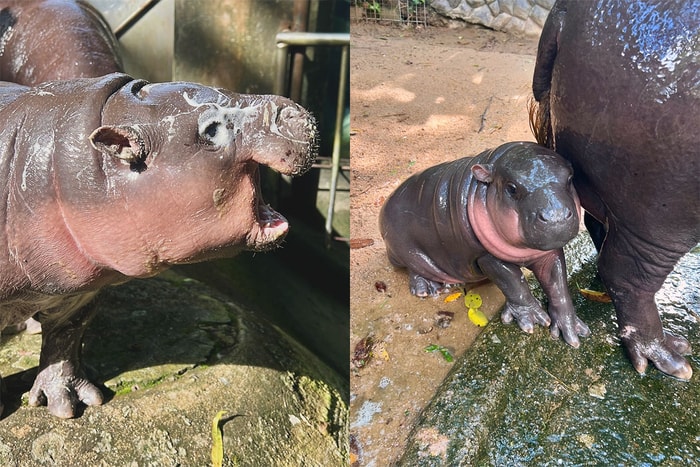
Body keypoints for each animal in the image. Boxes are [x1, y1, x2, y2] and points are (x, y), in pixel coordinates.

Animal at [0, 72, 318, 416]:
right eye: (211, 129)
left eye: (221, 88)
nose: (288, 110)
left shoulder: (79, 291)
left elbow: (65, 337)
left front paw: (70, 403)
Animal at [378, 143, 592, 348]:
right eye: (511, 188)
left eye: (570, 178)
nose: (556, 217)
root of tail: (386, 203)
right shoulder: (486, 257)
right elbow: (514, 283)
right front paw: (532, 320)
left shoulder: (549, 252)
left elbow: (557, 284)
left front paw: (573, 330)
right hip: (406, 250)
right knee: (414, 269)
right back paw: (428, 288)